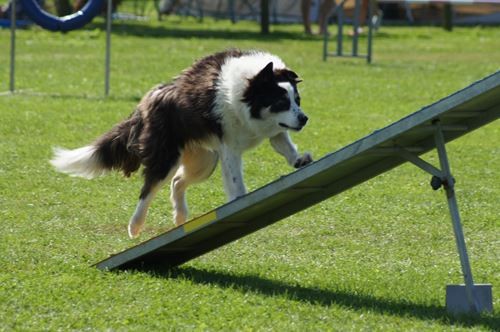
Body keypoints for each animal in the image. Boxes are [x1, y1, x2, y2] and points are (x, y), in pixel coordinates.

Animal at [50, 49, 310, 237]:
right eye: (280, 102)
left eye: (297, 100)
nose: (304, 119)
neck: (248, 87)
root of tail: (148, 100)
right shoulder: (230, 147)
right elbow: (236, 181)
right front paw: (240, 201)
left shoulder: (272, 129)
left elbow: (284, 144)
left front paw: (299, 159)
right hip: (168, 156)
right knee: (149, 189)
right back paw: (135, 226)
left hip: (205, 160)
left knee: (177, 181)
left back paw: (180, 216)